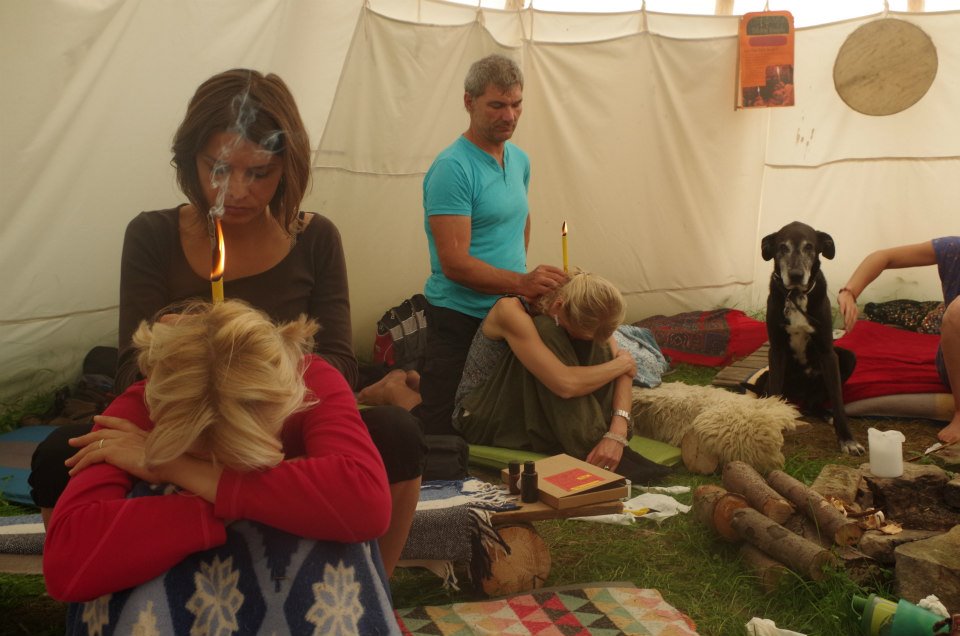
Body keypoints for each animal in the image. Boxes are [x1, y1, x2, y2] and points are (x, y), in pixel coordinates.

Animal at [759, 221, 864, 455]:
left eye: (810, 247)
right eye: (782, 247)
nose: (796, 275)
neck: (796, 295)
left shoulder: (828, 353)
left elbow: (838, 399)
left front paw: (847, 439)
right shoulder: (776, 351)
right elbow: (775, 392)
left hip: (847, 359)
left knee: (812, 403)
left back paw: (826, 414)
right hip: (769, 377)